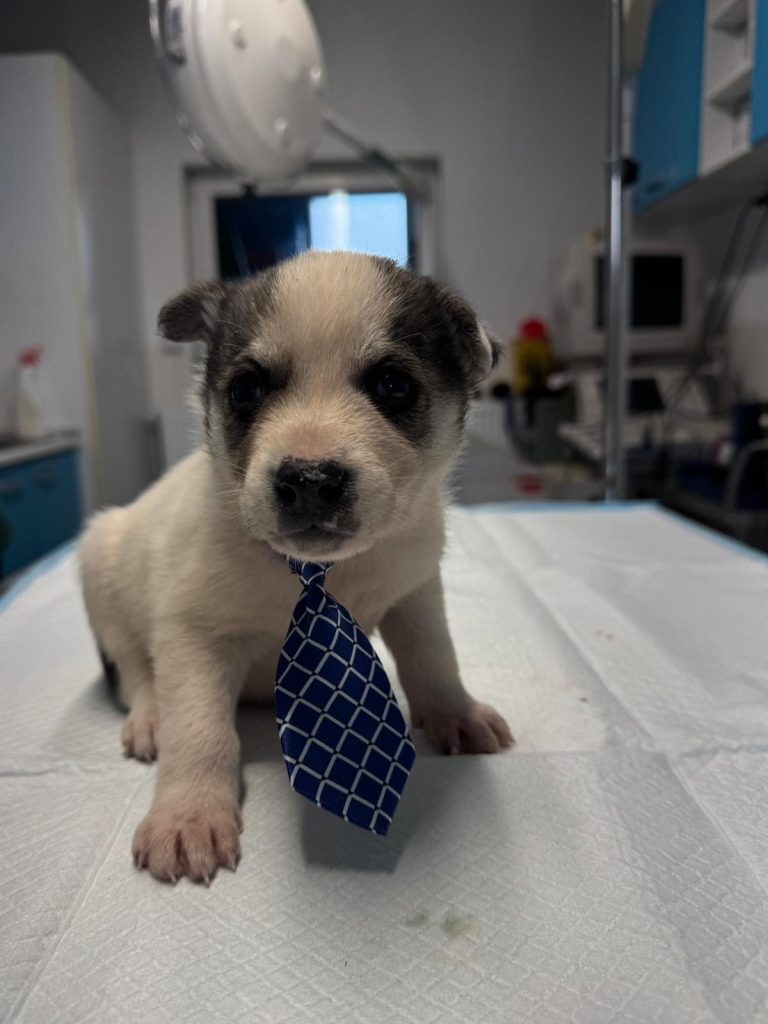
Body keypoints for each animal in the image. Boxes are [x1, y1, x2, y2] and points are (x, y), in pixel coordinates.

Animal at [79, 250, 512, 883]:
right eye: (245, 390)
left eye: (394, 385)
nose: (309, 479)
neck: (318, 572)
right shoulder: (193, 635)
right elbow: (200, 730)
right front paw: (189, 814)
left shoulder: (414, 592)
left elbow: (434, 657)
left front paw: (454, 712)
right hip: (100, 566)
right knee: (134, 666)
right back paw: (150, 717)